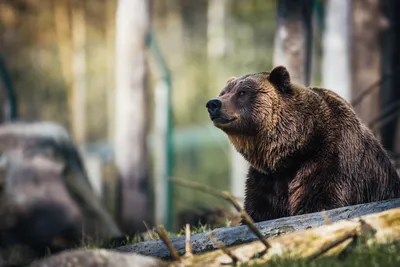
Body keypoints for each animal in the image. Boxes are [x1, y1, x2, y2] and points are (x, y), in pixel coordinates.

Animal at [206, 66, 400, 223]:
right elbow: (259, 210)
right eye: (224, 92)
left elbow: (320, 200)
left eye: (242, 92)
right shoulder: (267, 178)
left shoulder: (331, 159)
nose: (213, 103)